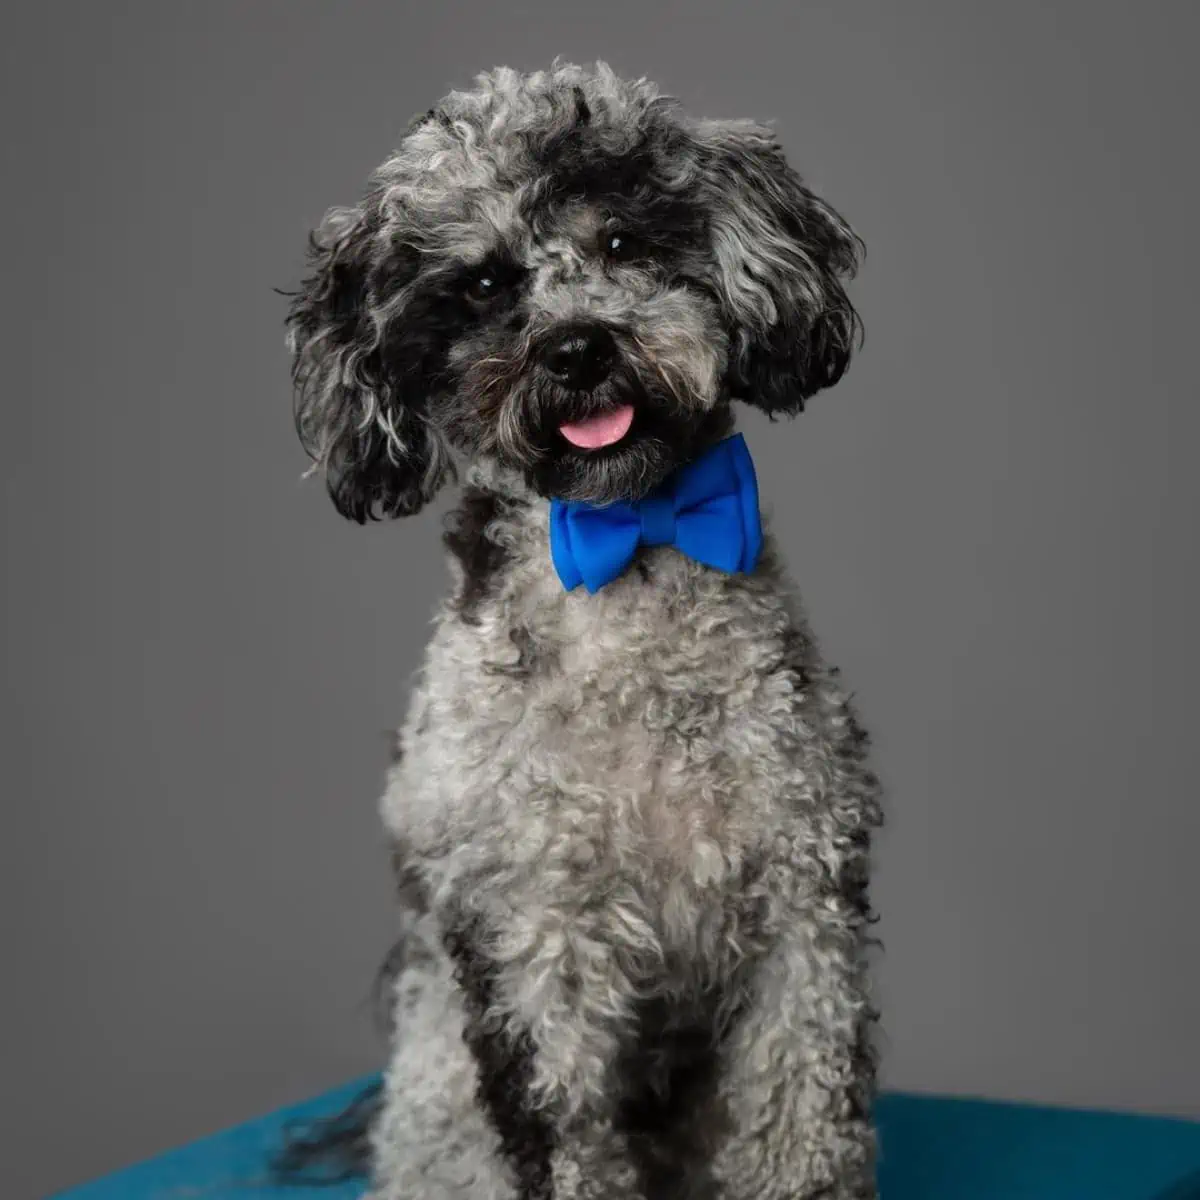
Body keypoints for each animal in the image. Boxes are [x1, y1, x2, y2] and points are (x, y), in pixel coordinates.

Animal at [282, 60, 883, 1200]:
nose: (575, 348)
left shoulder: (802, 909)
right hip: (440, 1100)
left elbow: (802, 1122)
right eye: (482, 286)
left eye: (618, 242)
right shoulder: (533, 943)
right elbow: (561, 1143)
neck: (625, 547)